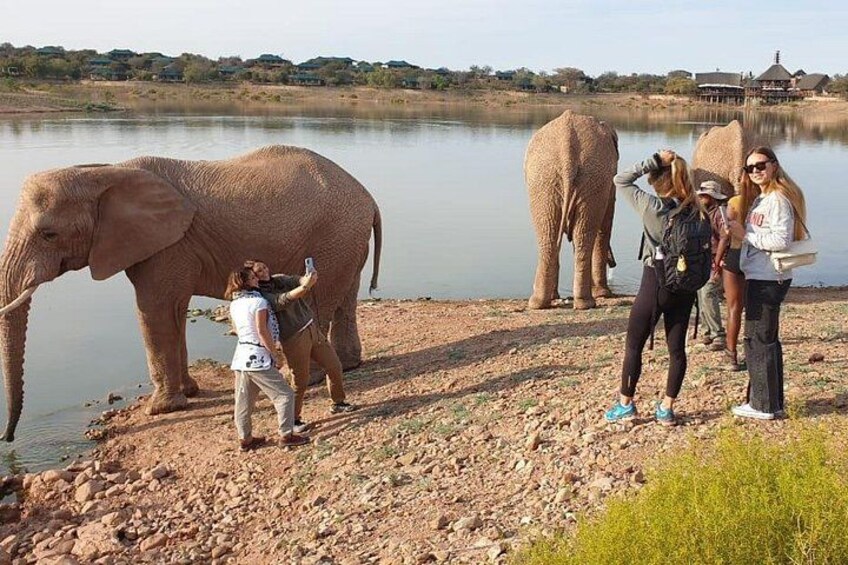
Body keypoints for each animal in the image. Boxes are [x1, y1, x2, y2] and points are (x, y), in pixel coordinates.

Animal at [0, 145, 382, 441]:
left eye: (48, 234)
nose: (8, 437)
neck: (106, 172)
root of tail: (367, 196)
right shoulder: (166, 246)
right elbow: (174, 310)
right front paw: (190, 392)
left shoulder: (167, 246)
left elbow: (154, 309)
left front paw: (161, 408)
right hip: (347, 239)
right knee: (345, 295)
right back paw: (348, 365)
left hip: (335, 235)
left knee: (322, 301)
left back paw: (302, 376)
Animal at [525, 110, 619, 310]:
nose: (613, 264)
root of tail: (567, 149)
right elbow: (604, 226)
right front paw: (604, 295)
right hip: (552, 180)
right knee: (556, 235)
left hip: (582, 180)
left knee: (566, 235)